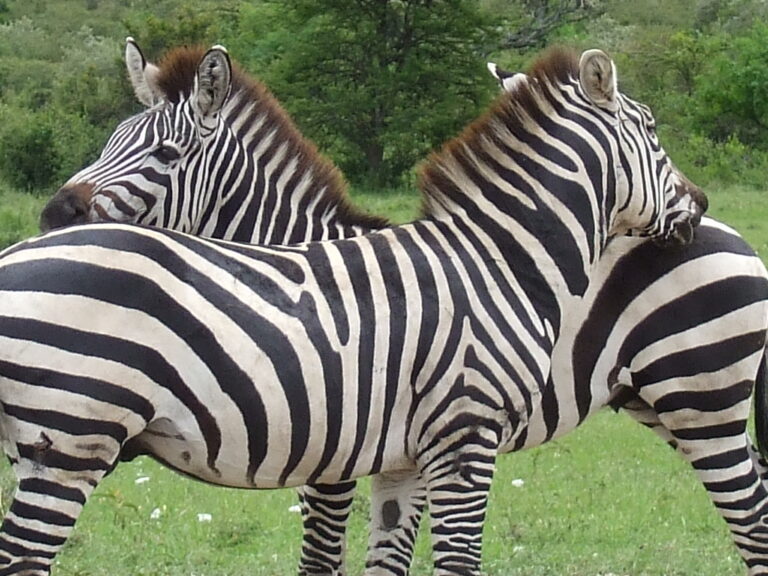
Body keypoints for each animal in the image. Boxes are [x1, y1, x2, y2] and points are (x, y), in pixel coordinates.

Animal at [42, 41, 768, 576]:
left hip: (702, 403)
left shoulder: (335, 460)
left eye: (164, 154)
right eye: (109, 141)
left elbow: (323, 559)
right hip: (666, 405)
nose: (52, 216)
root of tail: (734, 237)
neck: (298, 248)